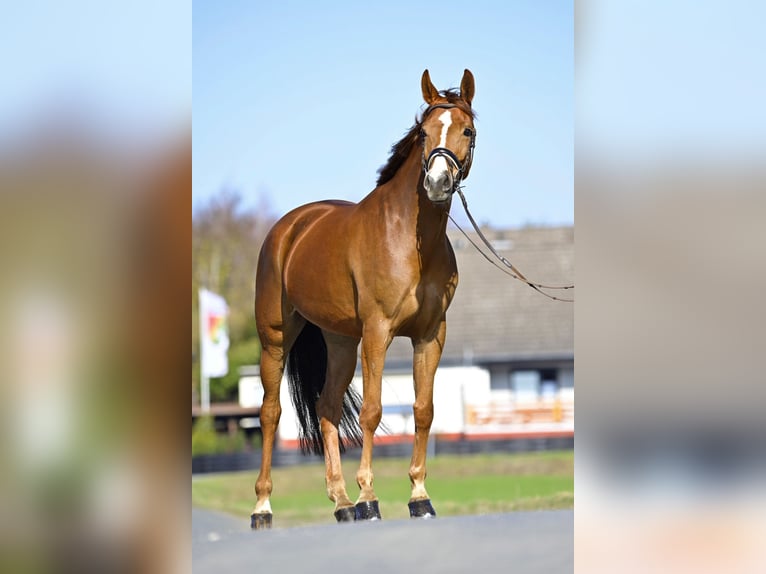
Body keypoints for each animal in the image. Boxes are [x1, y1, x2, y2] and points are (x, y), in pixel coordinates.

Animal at [251, 69, 477, 529]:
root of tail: (289, 228)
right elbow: (373, 410)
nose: (437, 183)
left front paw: (419, 498)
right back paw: (263, 508)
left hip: (339, 341)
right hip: (276, 338)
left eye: (466, 130)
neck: (411, 240)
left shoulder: (430, 335)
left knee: (326, 407)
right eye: (423, 133)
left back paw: (341, 503)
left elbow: (423, 410)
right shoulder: (378, 332)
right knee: (270, 413)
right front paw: (370, 498)